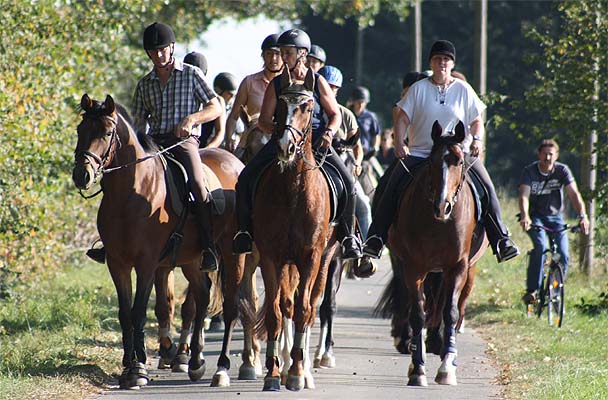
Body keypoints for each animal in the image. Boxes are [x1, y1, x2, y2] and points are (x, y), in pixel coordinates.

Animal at [72, 94, 244, 389]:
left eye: (106, 133)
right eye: (80, 130)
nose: (81, 175)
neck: (131, 193)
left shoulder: (147, 264)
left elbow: (140, 311)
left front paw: (139, 369)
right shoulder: (117, 264)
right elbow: (126, 313)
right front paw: (127, 366)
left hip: (233, 255)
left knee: (229, 306)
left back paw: (219, 368)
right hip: (191, 259)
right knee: (201, 295)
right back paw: (195, 361)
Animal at [251, 68, 338, 392]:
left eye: (309, 107)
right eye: (279, 107)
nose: (285, 148)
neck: (293, 190)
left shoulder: (310, 256)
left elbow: (303, 310)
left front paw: (299, 372)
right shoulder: (271, 257)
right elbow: (277, 312)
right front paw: (273, 373)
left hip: (325, 259)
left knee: (312, 306)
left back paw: (306, 370)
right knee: (287, 305)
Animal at [379, 120, 481, 387]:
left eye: (459, 161)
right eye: (432, 162)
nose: (442, 206)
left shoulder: (458, 266)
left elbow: (450, 311)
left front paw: (447, 367)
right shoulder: (413, 266)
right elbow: (418, 312)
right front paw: (418, 368)